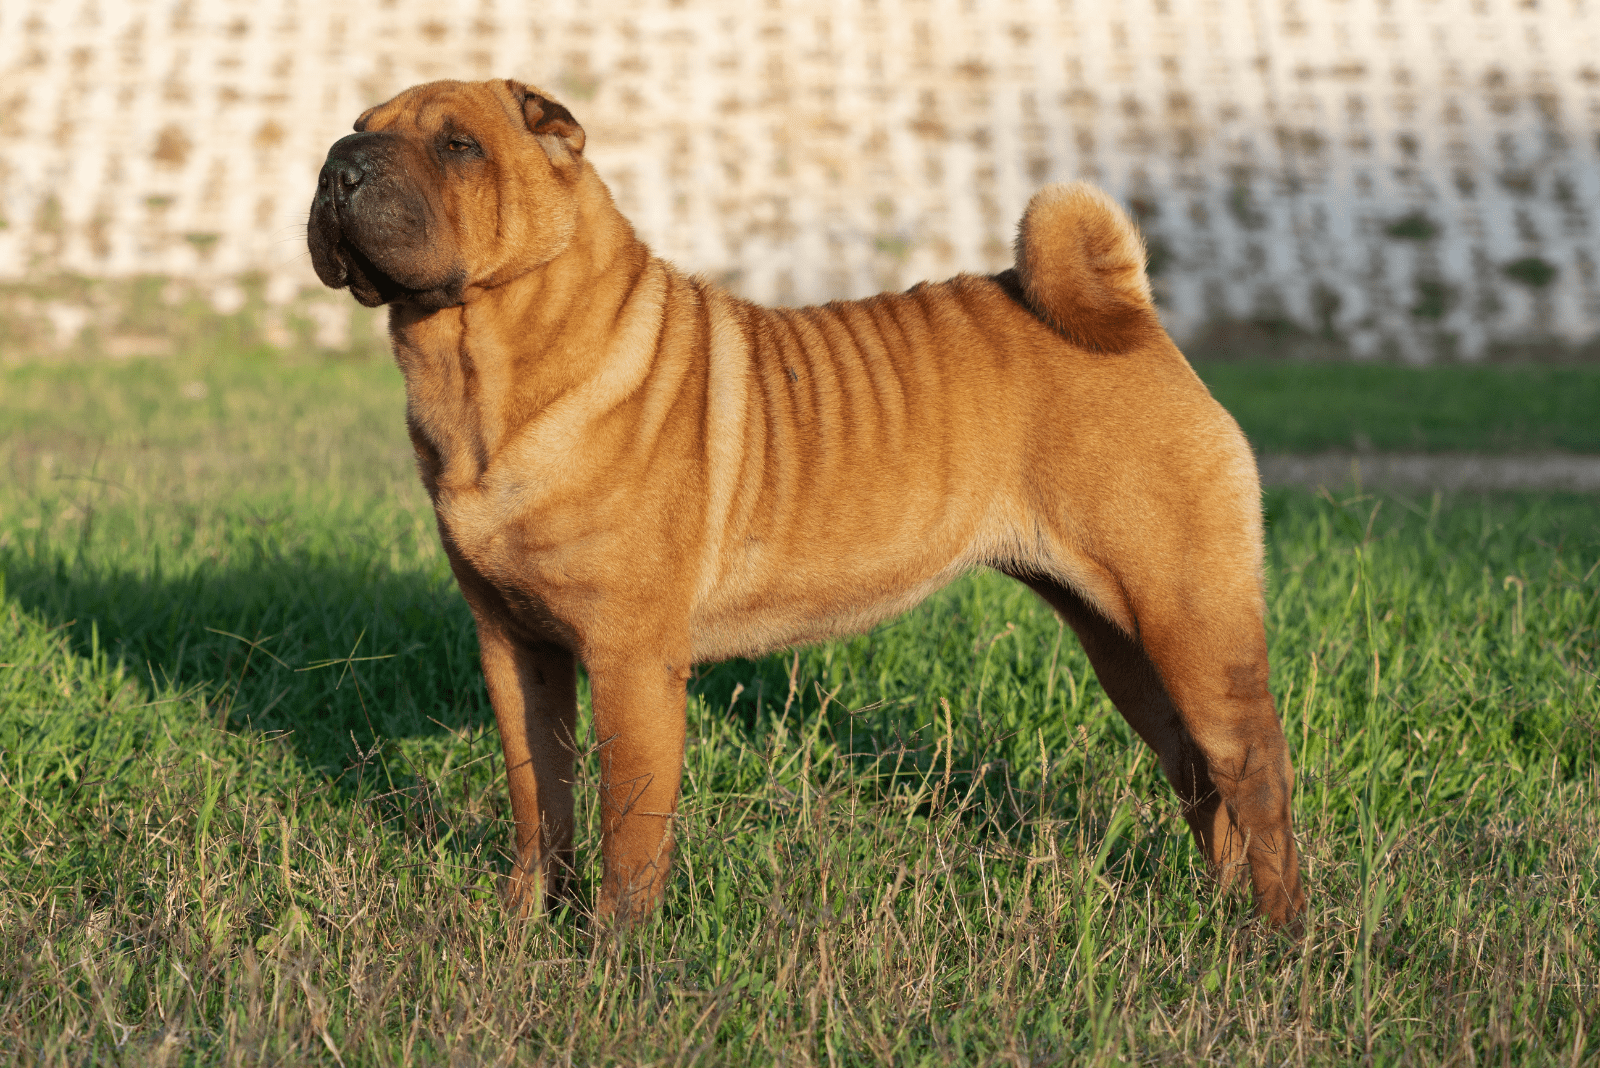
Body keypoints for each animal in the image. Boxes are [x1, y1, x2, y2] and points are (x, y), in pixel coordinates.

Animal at [305, 77, 1305, 927]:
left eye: (459, 145)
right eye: (359, 122)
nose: (337, 165)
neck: (476, 367)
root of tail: (1136, 315)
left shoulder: (630, 659)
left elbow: (628, 825)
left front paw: (613, 952)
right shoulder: (515, 647)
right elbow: (538, 799)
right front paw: (522, 925)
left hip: (1187, 614)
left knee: (1254, 767)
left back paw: (1276, 933)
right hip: (1121, 638)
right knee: (1198, 769)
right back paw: (1223, 914)